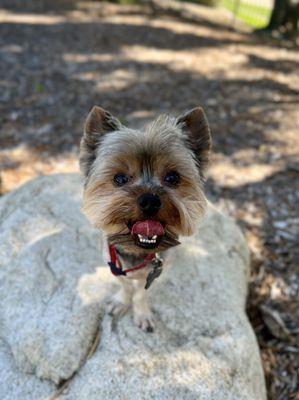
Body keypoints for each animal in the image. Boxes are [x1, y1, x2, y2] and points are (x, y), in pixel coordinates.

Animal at [79, 105, 211, 332]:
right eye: (119, 178)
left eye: (173, 177)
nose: (150, 201)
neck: (137, 251)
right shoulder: (113, 265)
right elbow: (125, 286)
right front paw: (121, 301)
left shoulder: (157, 272)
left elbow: (141, 292)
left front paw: (142, 313)